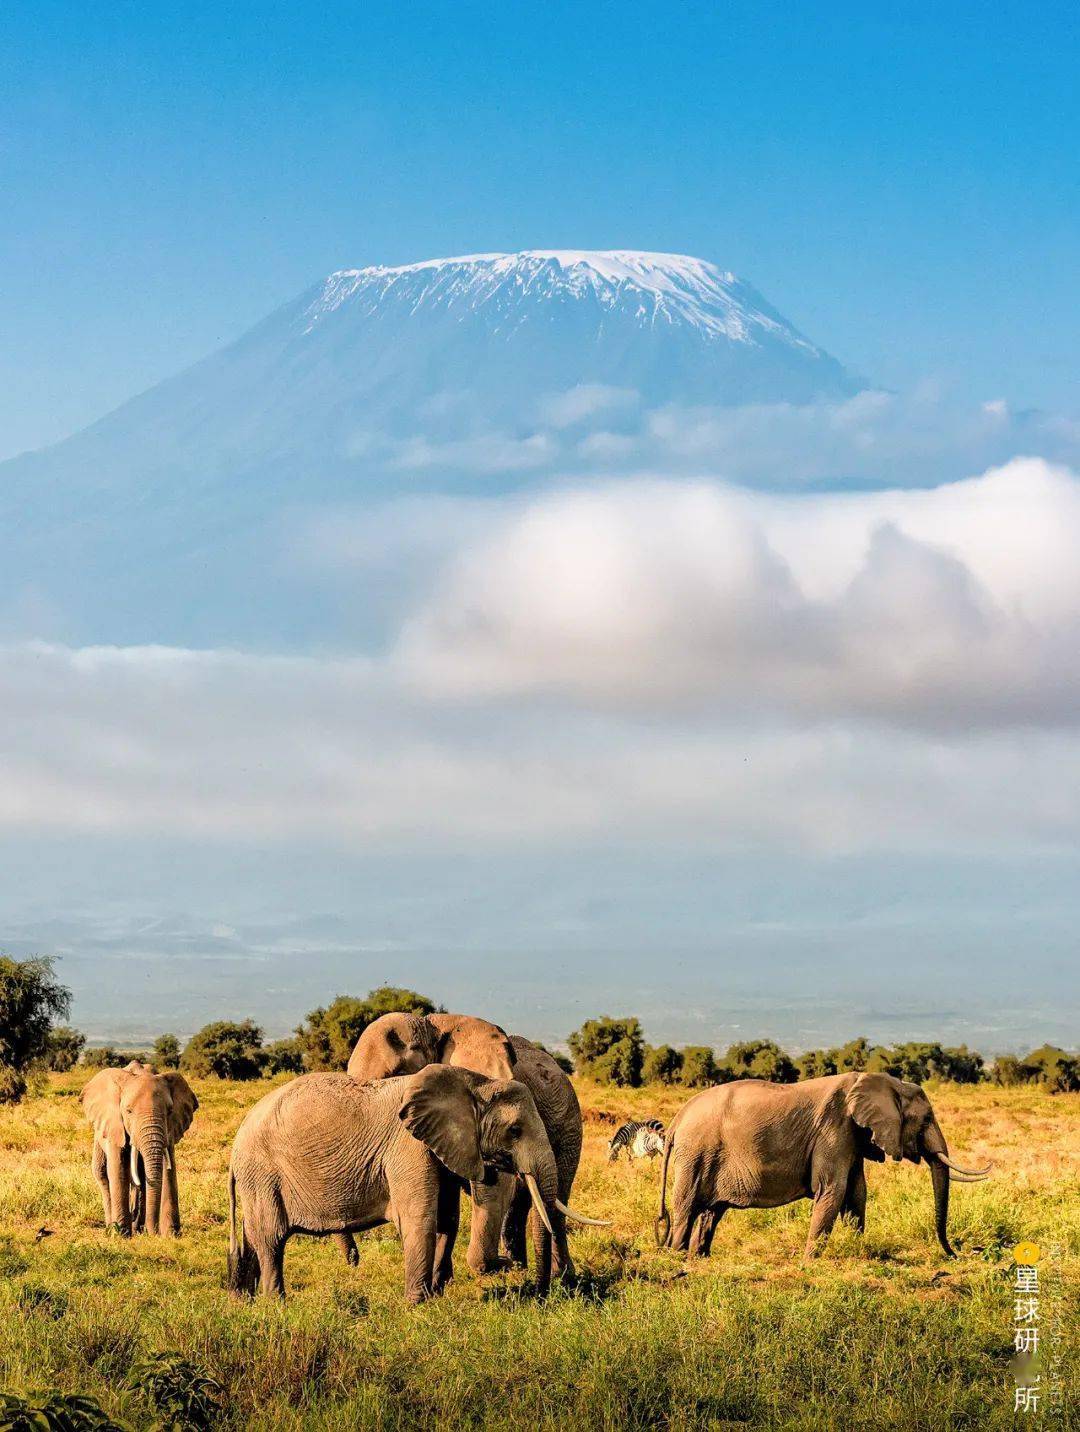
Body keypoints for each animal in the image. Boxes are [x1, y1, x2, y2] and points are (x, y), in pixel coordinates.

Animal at [80, 1061, 198, 1236]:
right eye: (128, 1111)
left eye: (170, 1111)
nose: (153, 1232)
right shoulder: (115, 1124)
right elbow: (118, 1167)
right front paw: (121, 1234)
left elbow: (169, 1170)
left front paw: (172, 1235)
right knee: (102, 1173)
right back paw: (113, 1227)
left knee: (140, 1177)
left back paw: (137, 1227)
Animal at [227, 1064, 600, 1301]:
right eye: (515, 1131)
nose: (537, 1290)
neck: (473, 1081)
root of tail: (235, 1145)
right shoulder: (408, 1147)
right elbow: (420, 1217)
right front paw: (417, 1305)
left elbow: (447, 1218)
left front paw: (435, 1296)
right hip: (262, 1174)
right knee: (271, 1238)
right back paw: (275, 1304)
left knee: (251, 1236)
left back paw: (242, 1301)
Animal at [656, 1072, 990, 1260]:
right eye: (926, 1119)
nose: (954, 1255)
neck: (887, 1082)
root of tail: (676, 1122)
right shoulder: (835, 1127)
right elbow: (832, 1189)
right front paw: (811, 1261)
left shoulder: (852, 1136)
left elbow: (856, 1193)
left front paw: (856, 1251)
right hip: (695, 1155)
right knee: (686, 1208)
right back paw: (675, 1258)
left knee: (710, 1212)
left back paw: (699, 1259)